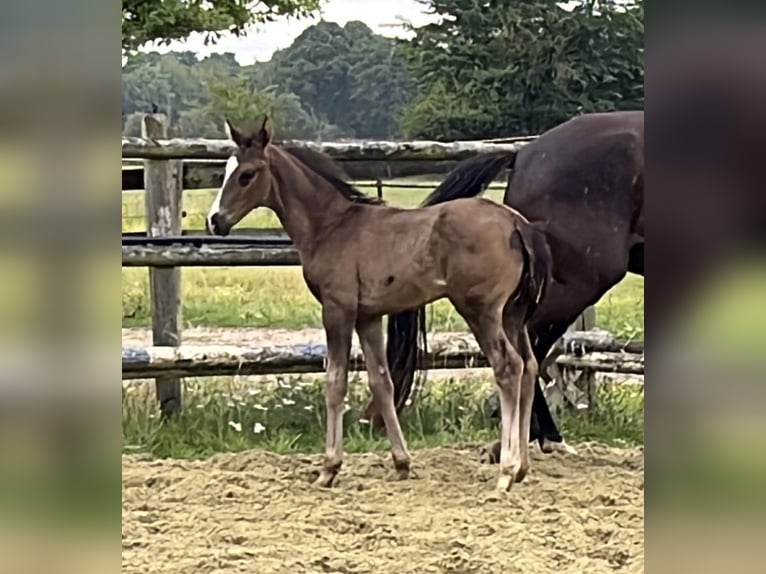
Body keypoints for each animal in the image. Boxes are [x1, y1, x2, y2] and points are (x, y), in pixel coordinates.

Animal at [206, 117, 553, 491]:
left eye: (246, 174)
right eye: (226, 170)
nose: (215, 220)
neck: (331, 225)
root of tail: (517, 223)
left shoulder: (338, 310)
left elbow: (335, 383)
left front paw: (328, 469)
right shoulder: (368, 317)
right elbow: (382, 383)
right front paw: (401, 464)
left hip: (481, 311)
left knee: (509, 367)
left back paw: (505, 472)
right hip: (513, 314)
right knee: (529, 365)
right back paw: (522, 468)